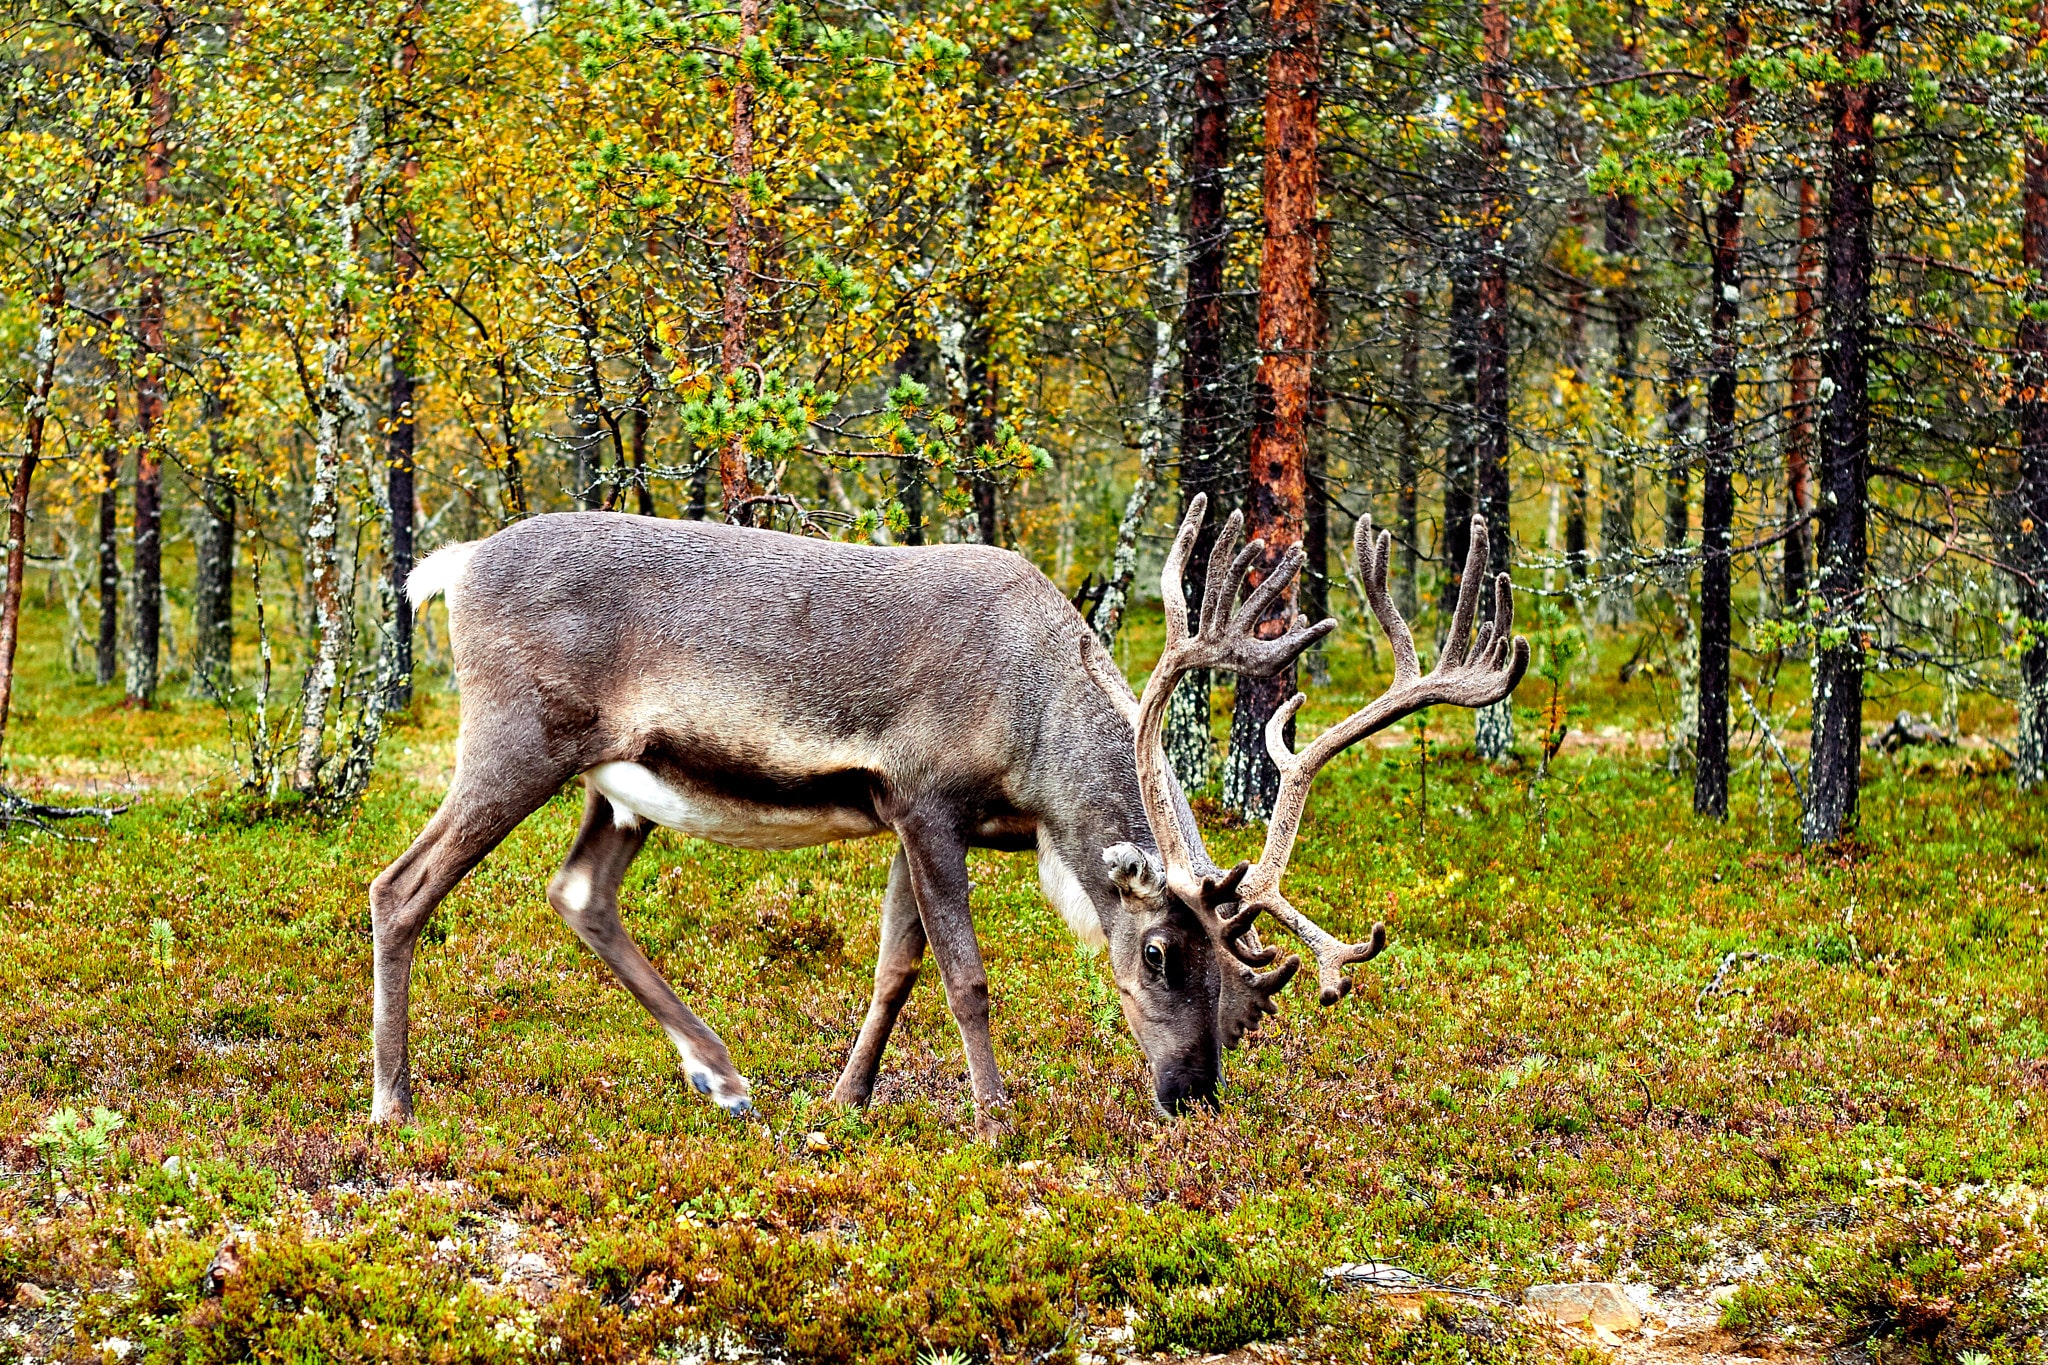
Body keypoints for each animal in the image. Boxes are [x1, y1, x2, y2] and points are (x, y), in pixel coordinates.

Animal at [370, 495, 1525, 1136]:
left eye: (1247, 998)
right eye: (1158, 954)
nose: (1191, 1096)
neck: (1034, 741)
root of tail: (452, 565)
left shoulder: (910, 819)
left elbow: (895, 966)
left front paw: (844, 1102)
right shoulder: (925, 798)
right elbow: (964, 977)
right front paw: (994, 1120)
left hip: (621, 782)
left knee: (580, 894)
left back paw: (725, 1075)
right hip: (516, 738)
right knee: (399, 885)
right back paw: (394, 1102)